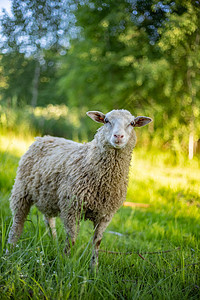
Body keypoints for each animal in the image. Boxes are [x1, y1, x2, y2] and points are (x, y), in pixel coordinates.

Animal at [7, 109, 152, 268]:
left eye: (132, 123)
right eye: (106, 121)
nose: (118, 136)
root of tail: (43, 138)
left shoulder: (105, 215)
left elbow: (97, 242)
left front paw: (94, 268)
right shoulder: (72, 208)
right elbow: (72, 239)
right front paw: (65, 264)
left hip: (48, 197)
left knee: (49, 221)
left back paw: (54, 243)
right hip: (21, 191)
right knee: (17, 224)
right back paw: (9, 252)